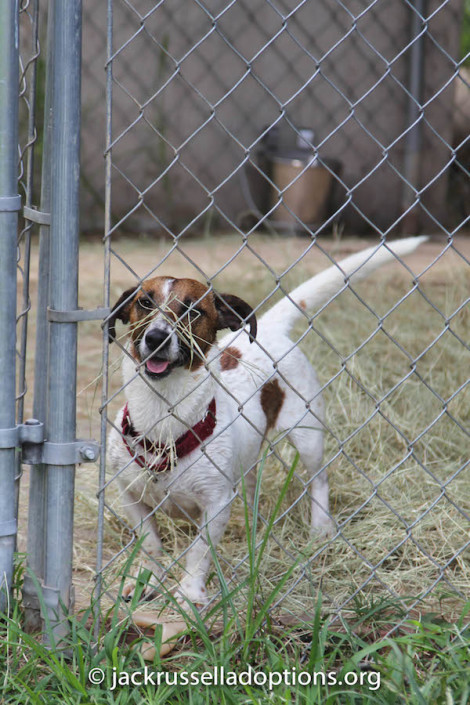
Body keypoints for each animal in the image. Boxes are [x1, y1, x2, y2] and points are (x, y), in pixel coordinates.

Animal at [107, 238, 426, 604]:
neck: (163, 418)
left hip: (308, 436)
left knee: (319, 480)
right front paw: (147, 580)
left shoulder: (215, 504)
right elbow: (150, 545)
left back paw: (320, 527)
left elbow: (199, 553)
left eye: (193, 311)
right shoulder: (131, 496)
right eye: (144, 303)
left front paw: (189, 595)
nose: (156, 337)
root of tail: (271, 328)